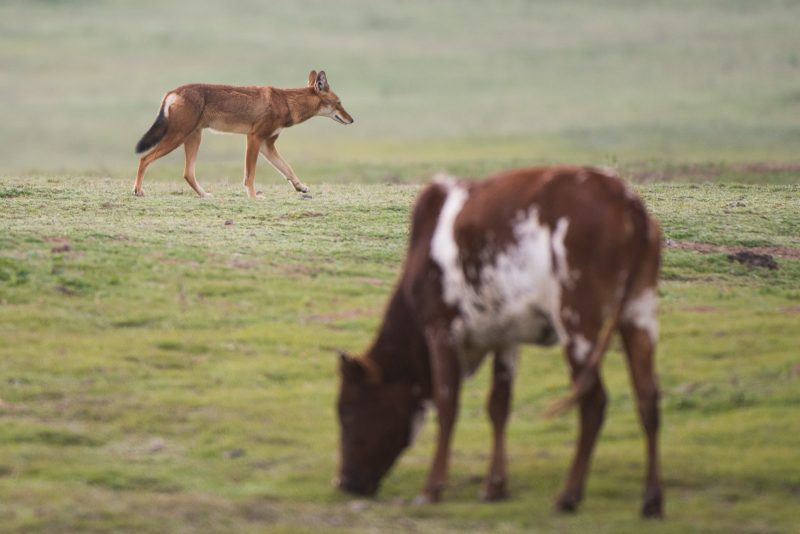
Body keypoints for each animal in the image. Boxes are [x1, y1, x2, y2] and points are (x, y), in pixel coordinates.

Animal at [336, 168, 664, 520]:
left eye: (348, 412)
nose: (344, 482)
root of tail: (624, 199)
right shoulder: (505, 338)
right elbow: (499, 406)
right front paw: (495, 486)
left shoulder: (441, 330)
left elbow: (447, 405)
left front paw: (432, 488)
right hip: (638, 313)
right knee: (647, 398)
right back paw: (651, 501)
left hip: (577, 322)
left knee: (594, 402)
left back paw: (569, 496)